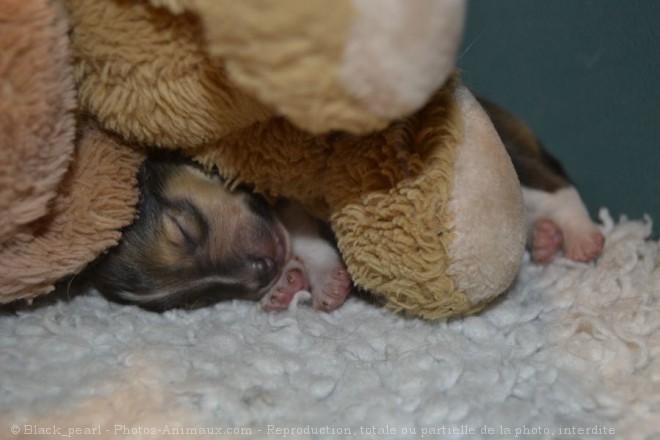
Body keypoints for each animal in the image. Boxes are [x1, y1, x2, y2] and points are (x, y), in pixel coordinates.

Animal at [90, 156, 354, 312]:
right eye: (206, 298)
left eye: (182, 230)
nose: (267, 269)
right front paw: (282, 287)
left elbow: (299, 228)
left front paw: (327, 278)